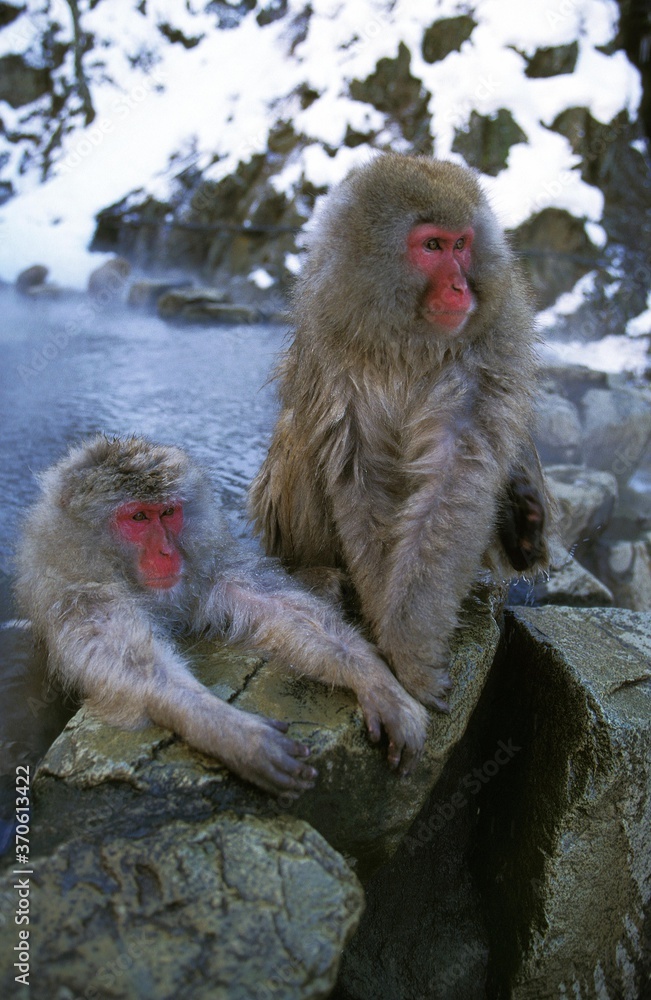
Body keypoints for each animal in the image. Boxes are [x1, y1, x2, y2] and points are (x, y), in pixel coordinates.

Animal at [15, 435, 428, 798]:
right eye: (138, 517)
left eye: (168, 512)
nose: (167, 553)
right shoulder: (82, 597)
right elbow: (136, 668)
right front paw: (232, 733)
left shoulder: (208, 568)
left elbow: (283, 611)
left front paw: (376, 681)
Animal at [250, 153, 549, 713]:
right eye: (431, 247)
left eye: (461, 244)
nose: (460, 288)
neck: (408, 339)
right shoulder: (330, 344)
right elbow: (358, 470)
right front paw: (393, 642)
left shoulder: (493, 345)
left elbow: (455, 479)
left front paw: (408, 644)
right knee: (299, 430)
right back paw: (310, 570)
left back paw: (523, 528)